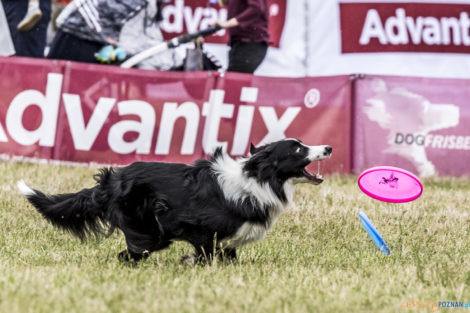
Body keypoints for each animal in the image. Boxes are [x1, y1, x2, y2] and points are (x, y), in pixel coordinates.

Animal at [18, 139, 332, 264]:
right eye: (297, 149)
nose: (328, 147)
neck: (258, 179)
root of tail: (111, 181)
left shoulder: (228, 242)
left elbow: (226, 257)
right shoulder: (198, 227)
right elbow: (205, 254)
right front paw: (189, 261)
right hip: (151, 232)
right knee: (129, 254)